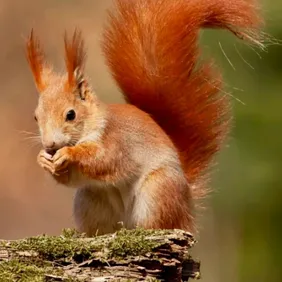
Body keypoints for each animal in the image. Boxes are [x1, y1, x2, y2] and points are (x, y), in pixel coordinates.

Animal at [25, 0, 264, 236]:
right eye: (36, 117)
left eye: (71, 114)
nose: (50, 144)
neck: (91, 126)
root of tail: (187, 202)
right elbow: (71, 177)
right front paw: (43, 159)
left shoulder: (117, 142)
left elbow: (104, 160)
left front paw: (69, 153)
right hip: (90, 200)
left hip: (158, 191)